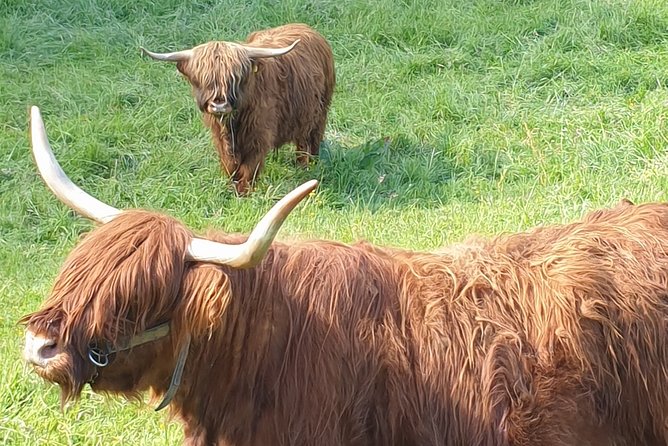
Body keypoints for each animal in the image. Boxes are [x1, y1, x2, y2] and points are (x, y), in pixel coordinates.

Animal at [143, 24, 336, 195]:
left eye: (234, 78)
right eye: (204, 80)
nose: (219, 105)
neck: (232, 124)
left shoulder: (258, 134)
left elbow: (250, 166)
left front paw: (244, 192)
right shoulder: (219, 136)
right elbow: (230, 164)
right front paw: (231, 186)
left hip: (319, 112)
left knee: (309, 140)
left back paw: (307, 165)